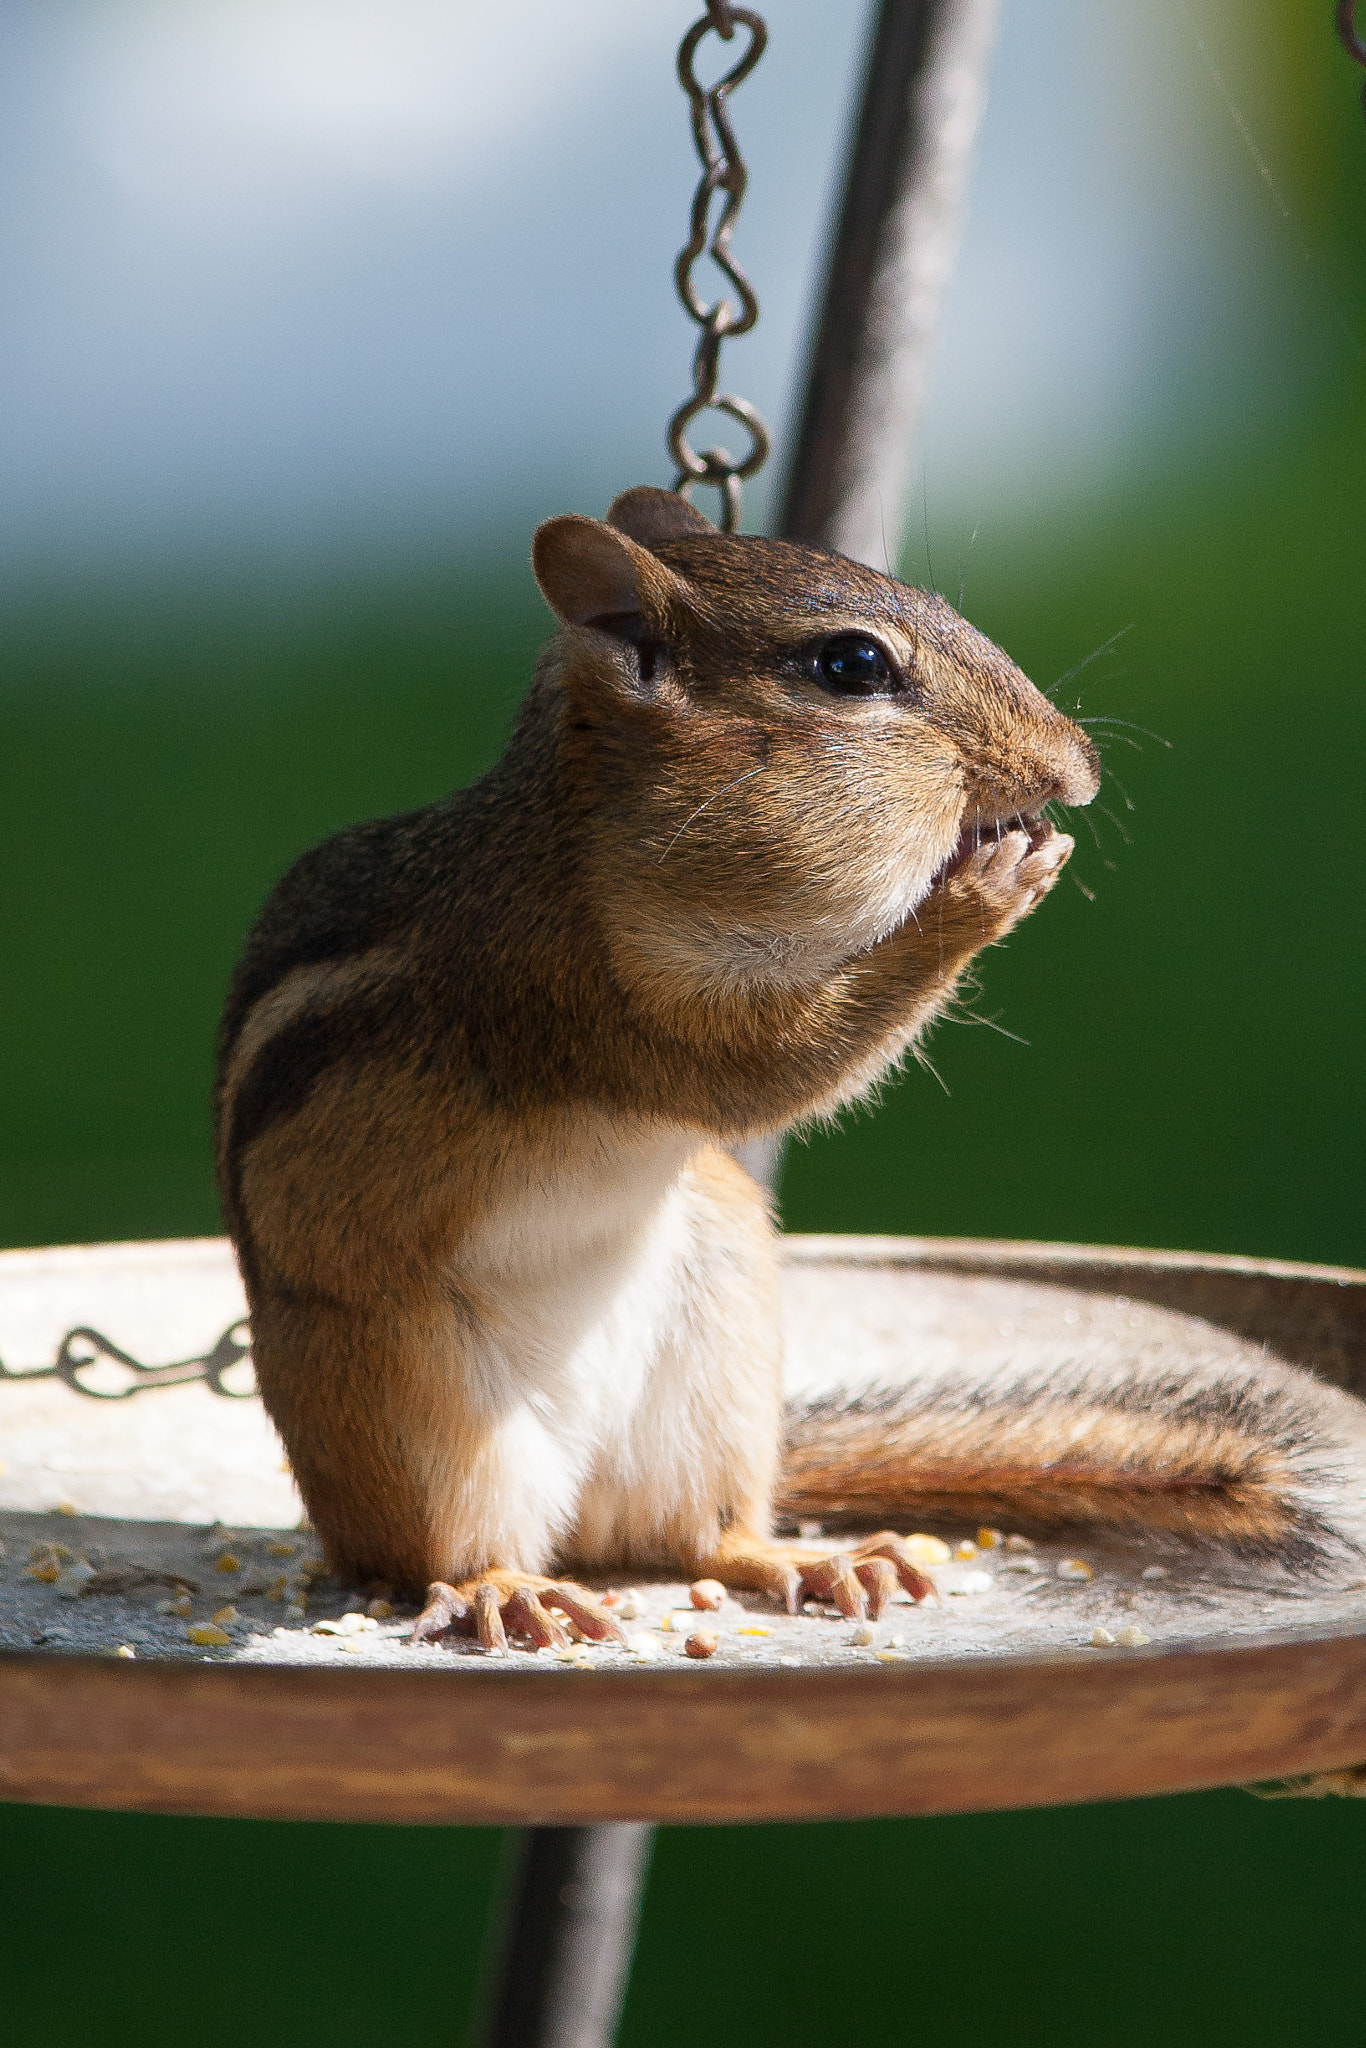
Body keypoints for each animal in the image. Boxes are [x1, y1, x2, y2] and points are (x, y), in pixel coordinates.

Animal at [213, 485, 1343, 1655]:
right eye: (850, 665)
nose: (1078, 766)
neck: (598, 837)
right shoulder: (583, 988)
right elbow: (769, 1070)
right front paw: (981, 889)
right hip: (419, 1404)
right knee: (442, 1547)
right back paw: (504, 1586)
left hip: (716, 1330)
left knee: (701, 1536)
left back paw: (812, 1556)